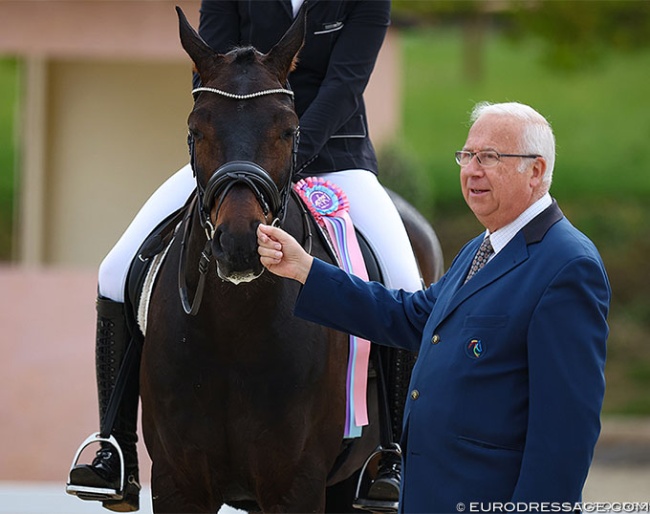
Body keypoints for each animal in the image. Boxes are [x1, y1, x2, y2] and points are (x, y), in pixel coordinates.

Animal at [139, 9, 442, 512]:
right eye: (196, 129)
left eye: (289, 129)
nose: (239, 244)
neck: (233, 330)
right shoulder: (177, 483)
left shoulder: (296, 484)